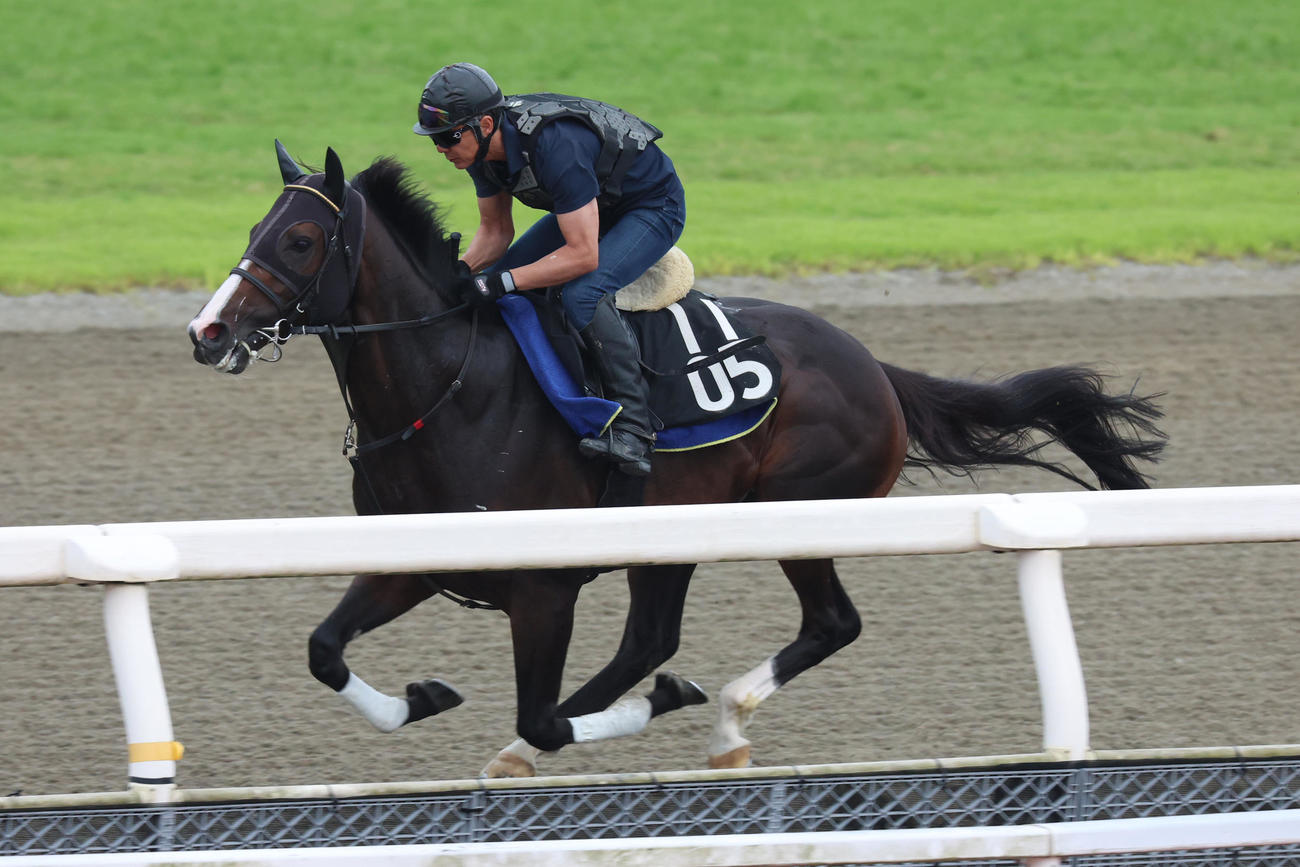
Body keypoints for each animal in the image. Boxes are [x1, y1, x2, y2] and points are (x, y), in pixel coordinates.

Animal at [187, 144, 1166, 777]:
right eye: (256, 225)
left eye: (300, 241)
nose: (209, 331)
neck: (448, 389)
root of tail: (873, 368)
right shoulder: (414, 558)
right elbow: (323, 648)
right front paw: (422, 698)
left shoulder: (543, 587)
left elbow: (542, 712)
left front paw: (642, 707)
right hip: (673, 532)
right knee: (652, 637)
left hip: (794, 512)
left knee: (829, 623)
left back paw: (723, 716)